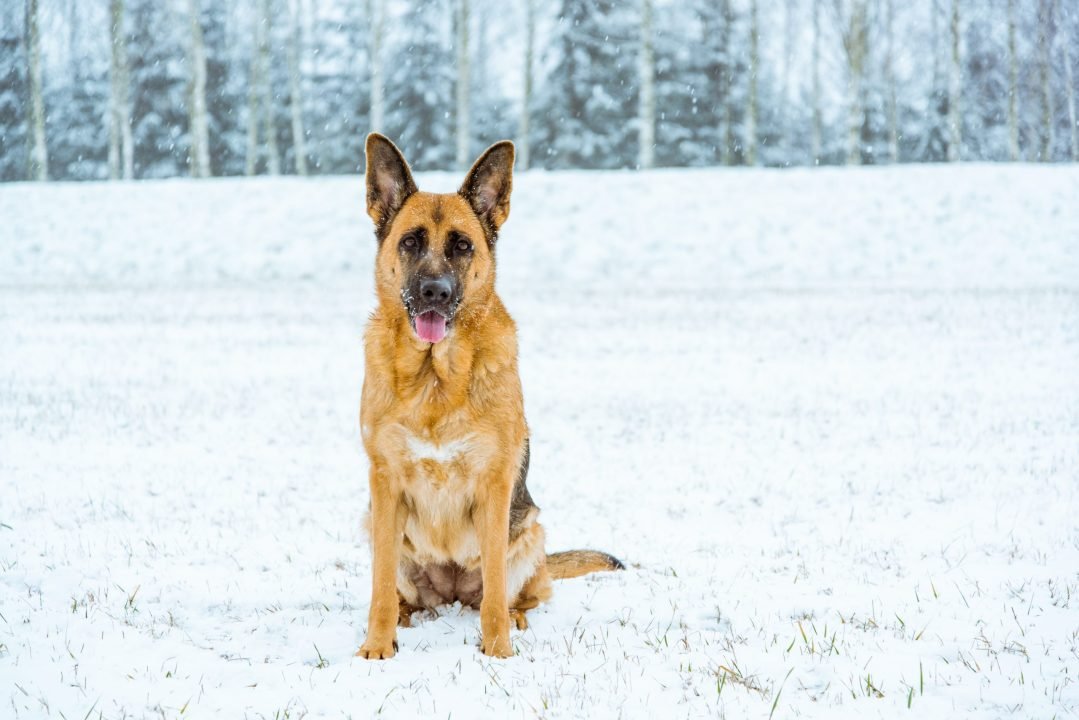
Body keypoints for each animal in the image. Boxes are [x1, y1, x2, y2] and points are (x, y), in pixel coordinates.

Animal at [356, 133, 621, 660]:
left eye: (462, 246)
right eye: (410, 242)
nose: (435, 292)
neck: (435, 379)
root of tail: (451, 594)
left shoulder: (495, 488)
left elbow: (496, 591)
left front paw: (499, 652)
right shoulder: (385, 485)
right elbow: (378, 589)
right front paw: (377, 647)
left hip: (529, 529)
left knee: (520, 593)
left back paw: (516, 617)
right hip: (373, 521)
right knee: (398, 591)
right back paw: (404, 617)